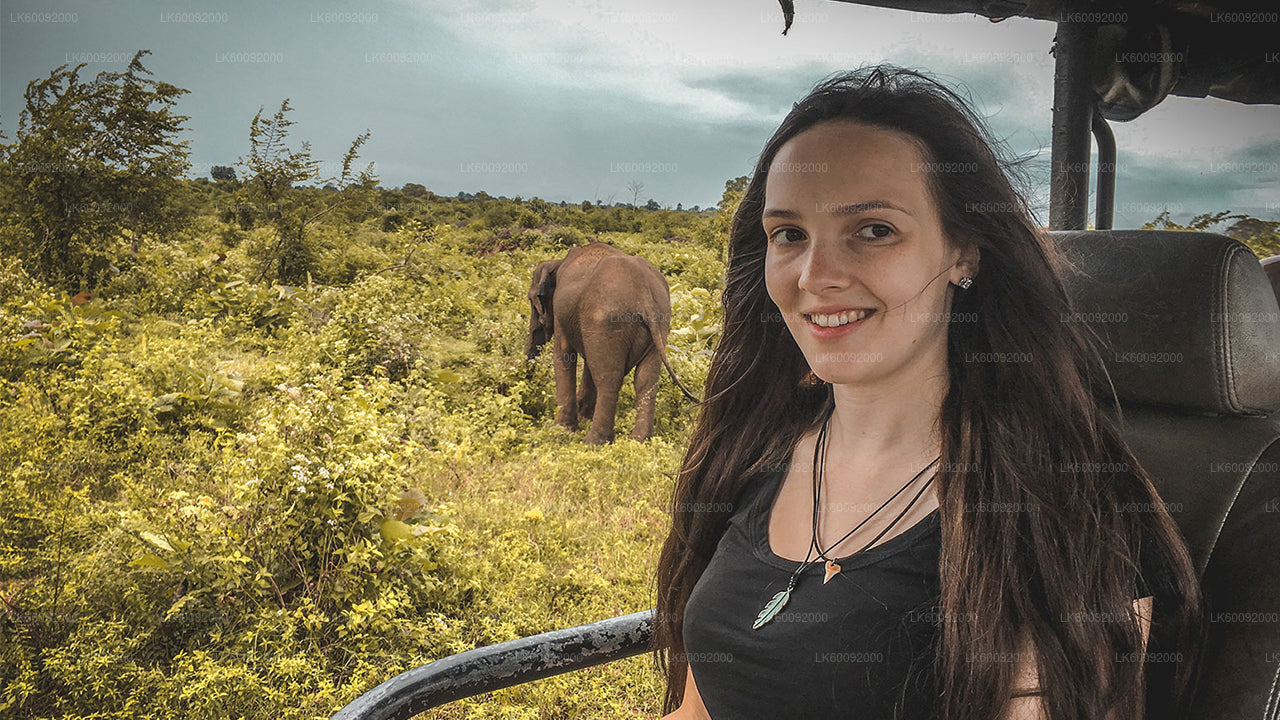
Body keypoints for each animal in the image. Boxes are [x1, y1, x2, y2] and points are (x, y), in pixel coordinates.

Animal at [524, 240, 701, 443]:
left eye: (533, 302)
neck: (557, 262)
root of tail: (643, 294)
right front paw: (582, 417)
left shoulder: (562, 311)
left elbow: (564, 355)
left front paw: (563, 431)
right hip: (659, 322)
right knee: (645, 379)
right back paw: (638, 441)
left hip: (608, 321)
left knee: (608, 379)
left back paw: (593, 442)